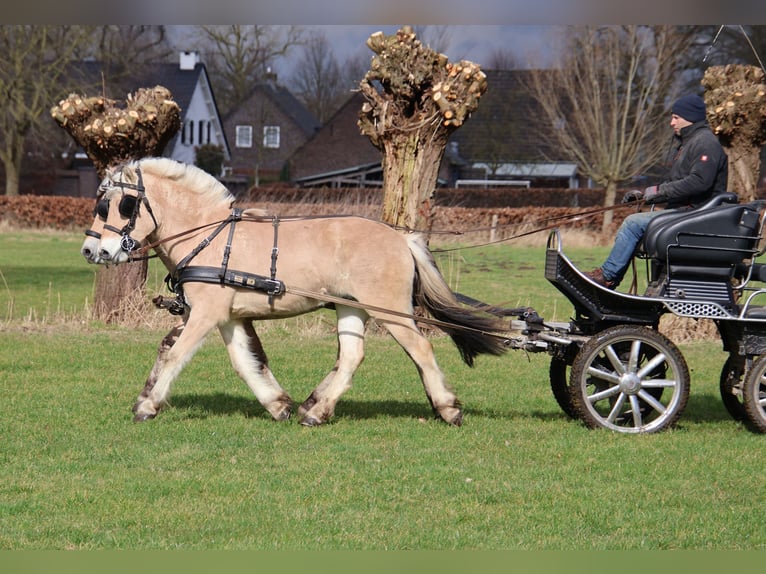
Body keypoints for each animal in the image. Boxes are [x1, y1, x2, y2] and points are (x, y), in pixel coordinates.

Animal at [85, 158, 510, 428]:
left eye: (123, 205)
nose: (92, 251)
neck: (208, 235)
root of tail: (401, 237)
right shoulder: (229, 317)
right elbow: (245, 362)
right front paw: (278, 405)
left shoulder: (206, 313)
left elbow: (176, 355)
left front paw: (148, 406)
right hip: (351, 309)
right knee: (352, 356)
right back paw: (315, 410)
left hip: (390, 309)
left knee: (420, 349)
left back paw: (448, 409)